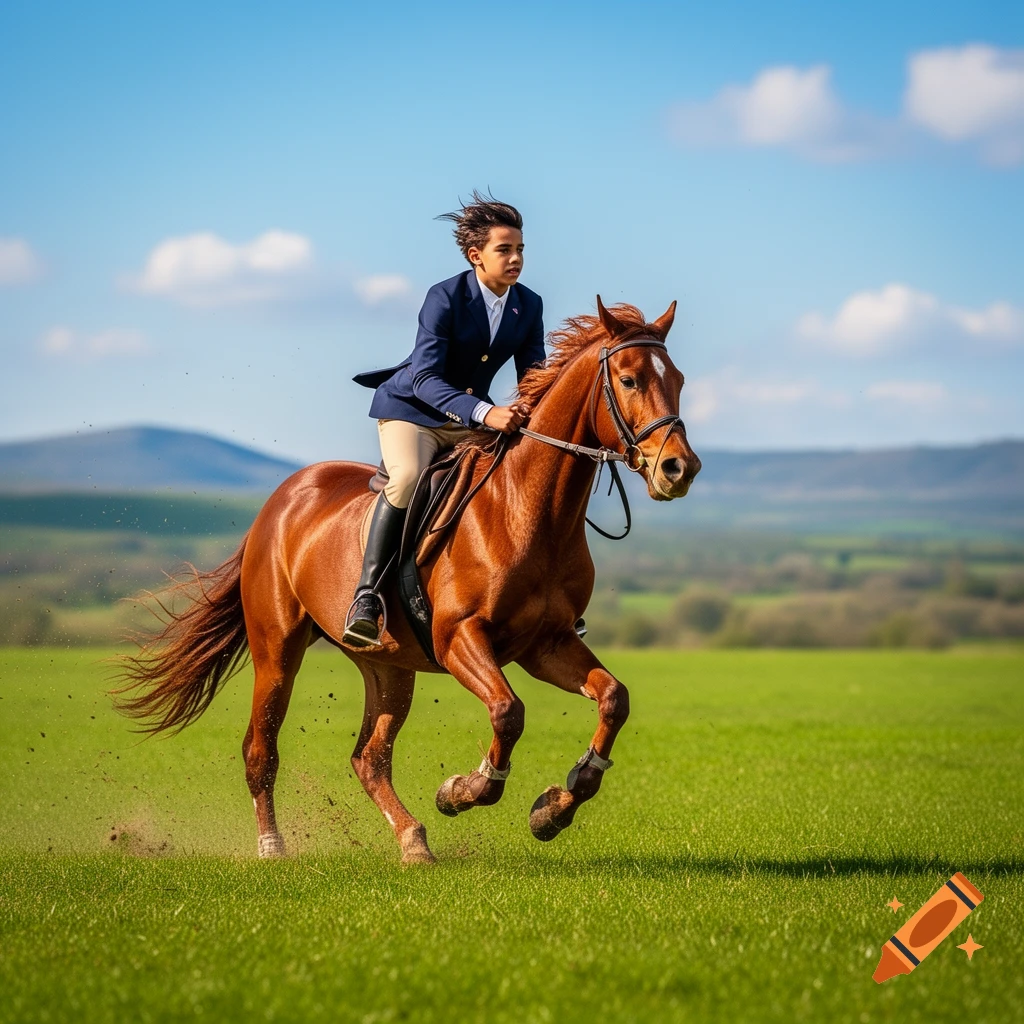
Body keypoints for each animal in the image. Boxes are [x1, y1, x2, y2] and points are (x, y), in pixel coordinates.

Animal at [114, 297, 701, 864]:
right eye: (629, 379)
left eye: (677, 379)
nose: (680, 469)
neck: (529, 511)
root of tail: (280, 500)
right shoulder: (460, 638)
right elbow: (508, 713)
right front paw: (464, 790)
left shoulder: (546, 643)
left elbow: (614, 699)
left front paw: (557, 805)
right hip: (277, 650)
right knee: (262, 747)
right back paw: (272, 847)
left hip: (389, 666)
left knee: (368, 758)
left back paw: (413, 840)